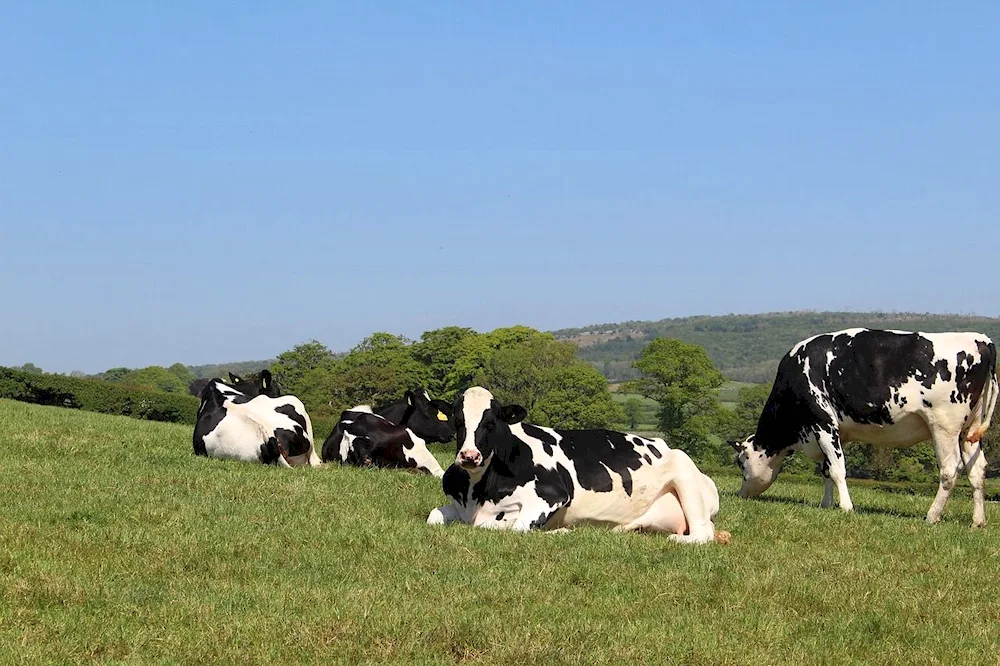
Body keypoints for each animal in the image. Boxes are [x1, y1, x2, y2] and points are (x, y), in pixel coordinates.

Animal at [426, 384, 732, 544]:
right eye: (457, 422)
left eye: (491, 424)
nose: (469, 456)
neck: (477, 493)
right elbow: (433, 517)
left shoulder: (552, 495)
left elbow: (506, 526)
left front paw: (557, 530)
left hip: (684, 470)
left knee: (703, 533)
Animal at [732, 326, 996, 524]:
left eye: (741, 464)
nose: (741, 495)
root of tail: (981, 339)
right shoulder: (836, 432)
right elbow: (827, 470)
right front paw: (826, 504)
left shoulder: (823, 423)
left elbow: (838, 470)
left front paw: (846, 507)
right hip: (969, 430)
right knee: (977, 469)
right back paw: (978, 521)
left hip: (944, 426)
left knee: (950, 469)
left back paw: (932, 516)